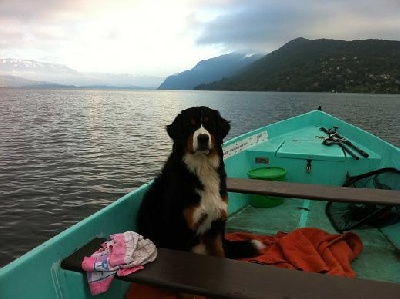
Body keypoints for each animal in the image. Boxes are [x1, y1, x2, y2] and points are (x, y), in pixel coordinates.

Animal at [138, 106, 262, 258]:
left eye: (210, 124)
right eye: (190, 125)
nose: (203, 137)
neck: (202, 166)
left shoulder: (216, 226)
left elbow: (220, 252)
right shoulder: (179, 230)